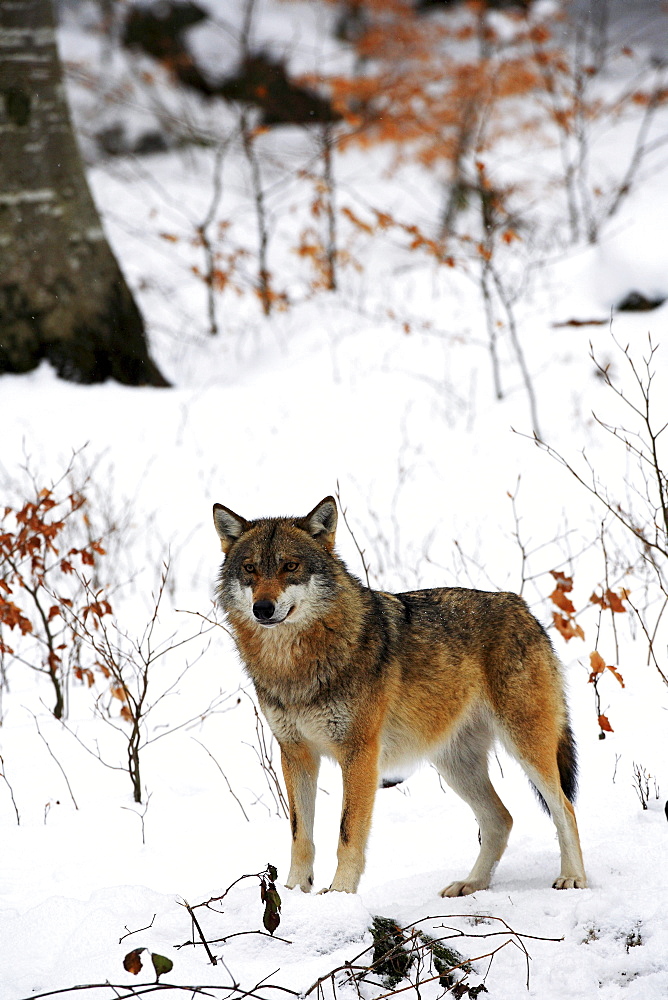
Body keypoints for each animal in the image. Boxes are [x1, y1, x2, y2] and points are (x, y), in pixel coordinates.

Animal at [213, 496, 584, 896]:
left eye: (290, 566)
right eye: (250, 569)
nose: (263, 609)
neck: (292, 665)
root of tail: (521, 606)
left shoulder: (360, 754)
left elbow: (348, 833)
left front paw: (340, 893)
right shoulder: (296, 754)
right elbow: (301, 836)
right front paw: (296, 893)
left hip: (525, 746)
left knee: (565, 808)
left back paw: (572, 877)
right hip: (455, 764)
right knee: (501, 819)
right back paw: (471, 884)